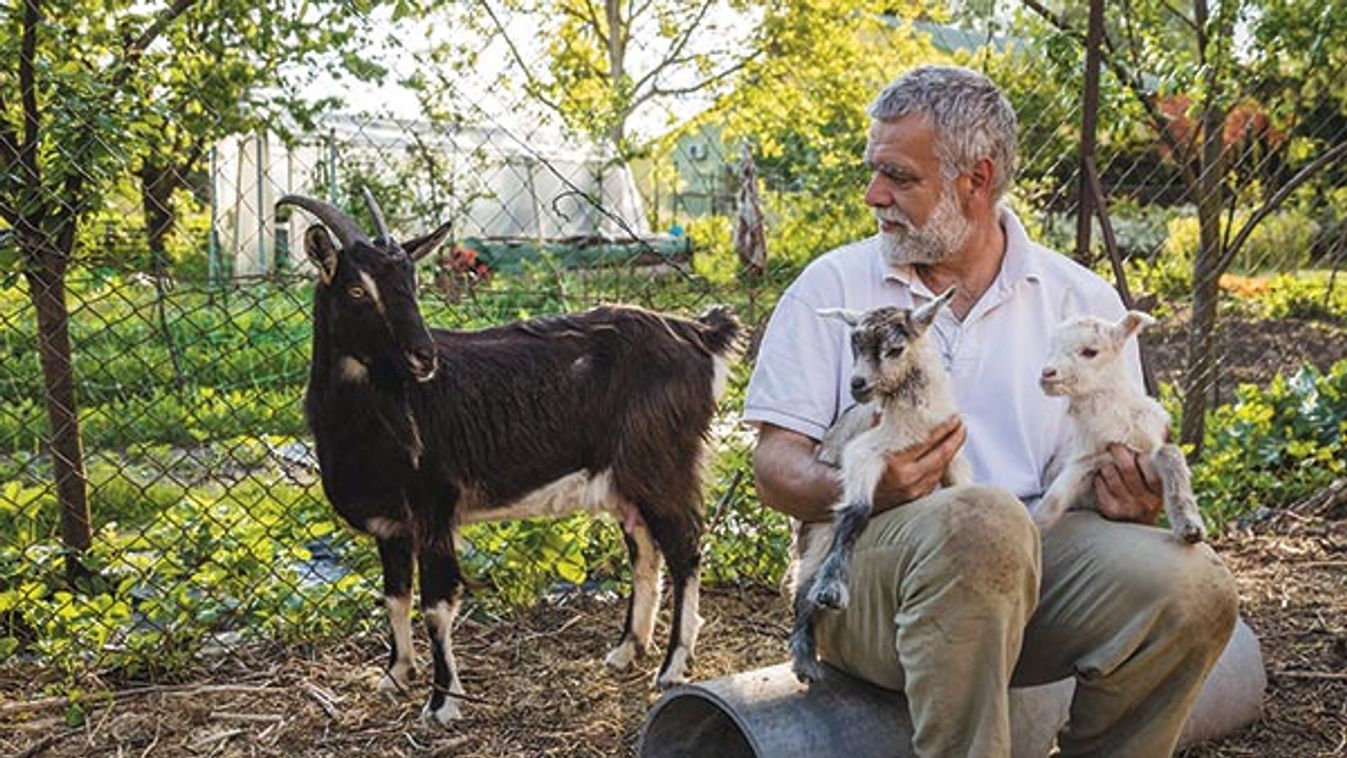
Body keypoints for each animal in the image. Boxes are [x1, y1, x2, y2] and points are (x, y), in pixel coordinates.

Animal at [273, 192, 738, 727]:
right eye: (355, 289)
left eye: (411, 282)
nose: (424, 357)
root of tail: (701, 333)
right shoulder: (391, 526)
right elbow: (394, 597)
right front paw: (395, 675)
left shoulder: (434, 507)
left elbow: (436, 605)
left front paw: (442, 702)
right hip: (627, 480)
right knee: (645, 550)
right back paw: (627, 649)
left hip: (664, 463)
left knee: (686, 550)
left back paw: (673, 666)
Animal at [786, 289, 975, 681]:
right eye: (853, 345)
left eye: (895, 349)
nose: (857, 384)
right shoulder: (866, 451)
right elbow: (857, 511)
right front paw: (833, 589)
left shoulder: (950, 453)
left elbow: (962, 487)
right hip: (818, 535)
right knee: (802, 585)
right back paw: (805, 654)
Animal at [1029, 309, 1212, 546]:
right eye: (1052, 346)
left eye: (1090, 352)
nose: (1047, 374)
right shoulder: (1081, 464)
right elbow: (1049, 505)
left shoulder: (1143, 450)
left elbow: (1169, 453)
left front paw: (1190, 526)